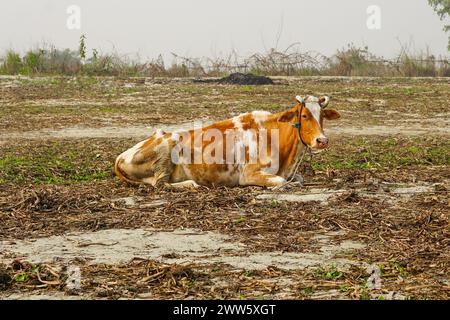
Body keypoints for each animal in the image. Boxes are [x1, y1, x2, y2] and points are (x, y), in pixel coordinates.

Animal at [114, 96, 340, 189]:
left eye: (322, 116)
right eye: (304, 115)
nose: (322, 140)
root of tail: (120, 156)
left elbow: (298, 179)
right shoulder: (248, 174)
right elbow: (282, 182)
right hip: (168, 147)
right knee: (159, 184)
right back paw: (191, 184)